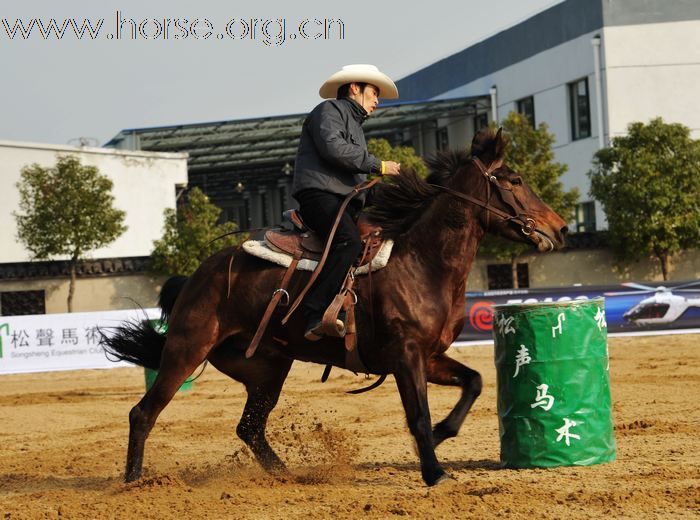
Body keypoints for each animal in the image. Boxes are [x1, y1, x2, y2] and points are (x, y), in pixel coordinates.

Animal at [102, 127, 568, 488]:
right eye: (515, 179)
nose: (561, 228)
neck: (423, 261)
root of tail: (197, 277)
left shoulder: (430, 356)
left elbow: (473, 383)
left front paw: (439, 437)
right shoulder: (406, 356)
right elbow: (417, 414)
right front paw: (434, 471)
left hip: (266, 369)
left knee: (249, 428)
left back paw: (288, 475)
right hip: (185, 351)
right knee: (143, 413)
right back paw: (134, 483)